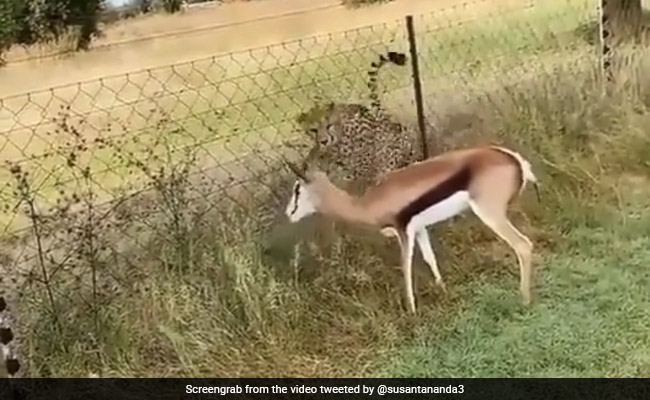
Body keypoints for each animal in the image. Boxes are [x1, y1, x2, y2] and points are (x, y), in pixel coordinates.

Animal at [283, 145, 540, 314]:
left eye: (297, 189)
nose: (289, 214)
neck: (367, 204)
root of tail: (514, 159)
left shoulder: (402, 231)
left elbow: (405, 268)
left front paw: (412, 312)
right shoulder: (419, 229)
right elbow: (429, 258)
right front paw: (443, 290)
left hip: (489, 213)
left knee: (523, 245)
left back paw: (524, 301)